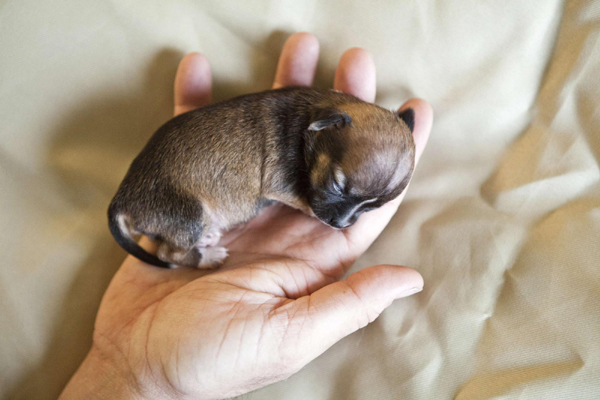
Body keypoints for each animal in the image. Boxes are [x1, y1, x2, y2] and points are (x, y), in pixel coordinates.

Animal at [108, 87, 414, 268]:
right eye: (337, 185)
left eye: (374, 207)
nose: (340, 224)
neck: (311, 118)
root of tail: (120, 200)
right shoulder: (281, 184)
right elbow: (304, 200)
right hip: (186, 213)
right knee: (168, 254)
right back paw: (208, 257)